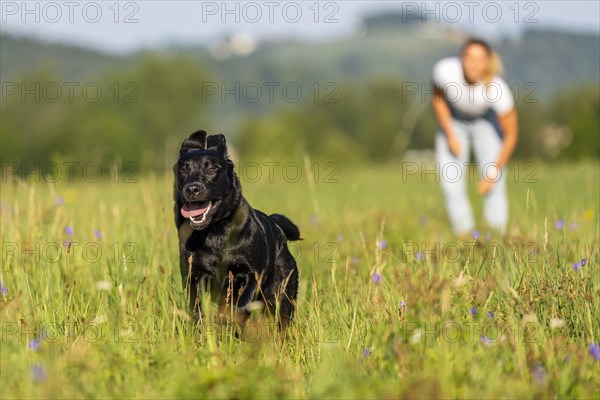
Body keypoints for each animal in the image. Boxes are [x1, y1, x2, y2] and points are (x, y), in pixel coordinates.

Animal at [173, 131, 300, 328]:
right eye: (183, 170)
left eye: (212, 169)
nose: (192, 188)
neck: (214, 232)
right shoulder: (194, 275)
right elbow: (198, 309)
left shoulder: (249, 274)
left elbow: (239, 306)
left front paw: (229, 321)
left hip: (282, 295)